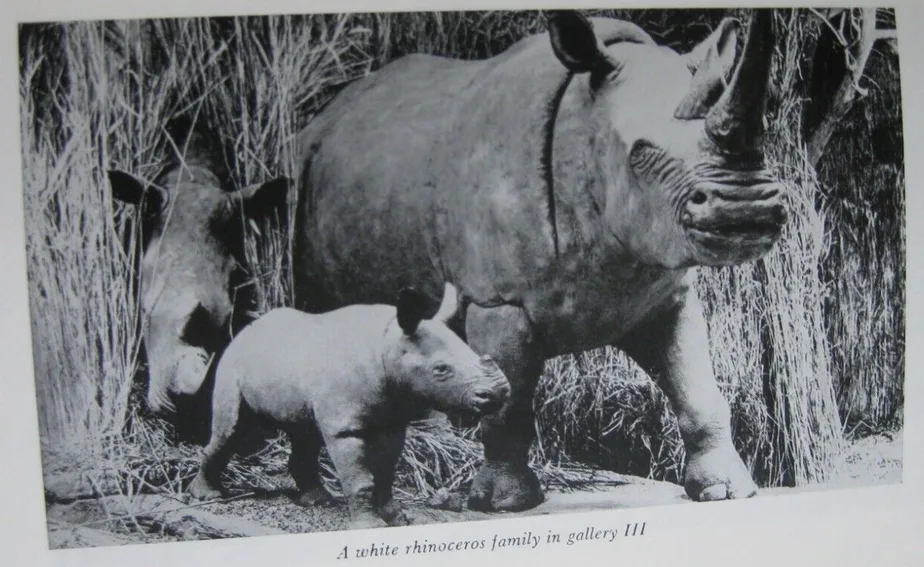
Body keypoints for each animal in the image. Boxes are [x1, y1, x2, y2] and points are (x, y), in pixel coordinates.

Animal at [290, 9, 786, 512]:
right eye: (641, 155)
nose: (746, 207)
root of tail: (325, 114)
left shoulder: (665, 293)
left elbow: (697, 387)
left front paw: (726, 491)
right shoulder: (498, 300)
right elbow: (508, 402)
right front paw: (505, 502)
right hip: (302, 183)